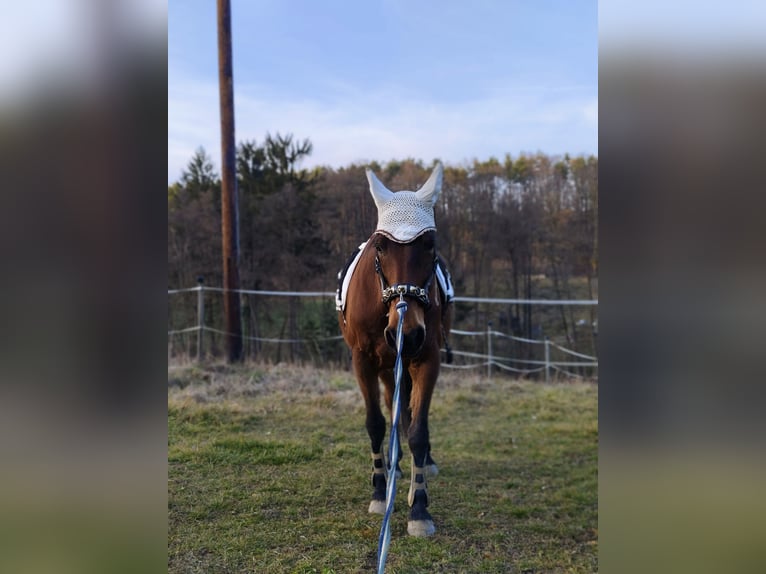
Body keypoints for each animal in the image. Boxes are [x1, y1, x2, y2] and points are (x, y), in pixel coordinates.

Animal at [337, 163, 453, 537]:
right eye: (380, 246)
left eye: (430, 245)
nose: (409, 331)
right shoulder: (362, 360)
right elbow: (375, 422)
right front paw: (378, 489)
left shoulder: (426, 359)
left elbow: (418, 430)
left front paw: (419, 507)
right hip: (387, 365)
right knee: (392, 405)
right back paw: (393, 468)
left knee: (407, 411)